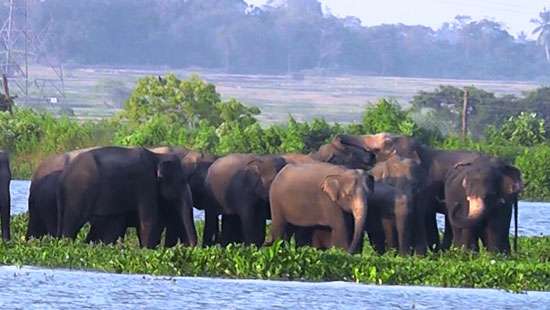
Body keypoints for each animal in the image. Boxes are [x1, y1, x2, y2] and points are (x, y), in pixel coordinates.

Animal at [56, 147, 196, 248]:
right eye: (182, 181)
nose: (187, 247)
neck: (157, 157)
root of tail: (64, 176)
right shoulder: (145, 184)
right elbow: (149, 220)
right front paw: (146, 250)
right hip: (79, 192)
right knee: (72, 224)